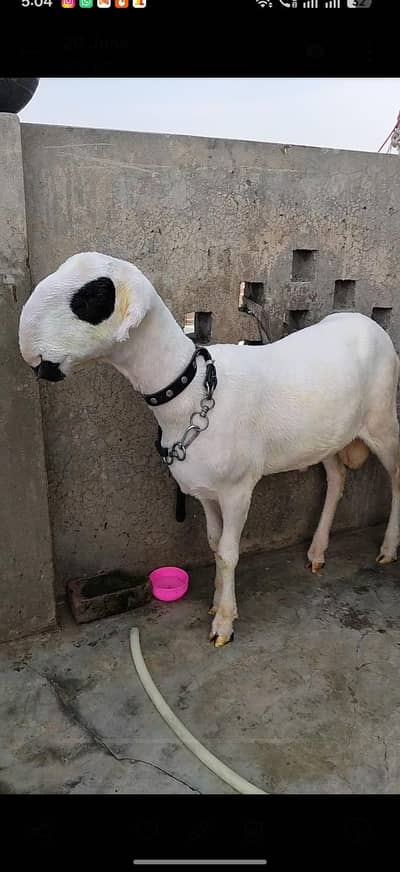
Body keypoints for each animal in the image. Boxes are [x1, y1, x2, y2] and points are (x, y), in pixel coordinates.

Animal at [18, 252, 400, 647]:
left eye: (92, 298)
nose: (31, 353)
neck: (191, 389)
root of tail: (364, 320)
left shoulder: (237, 489)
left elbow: (230, 553)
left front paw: (224, 624)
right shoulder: (205, 492)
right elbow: (214, 544)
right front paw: (216, 602)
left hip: (383, 420)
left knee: (396, 478)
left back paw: (388, 549)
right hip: (328, 435)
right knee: (337, 479)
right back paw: (317, 551)